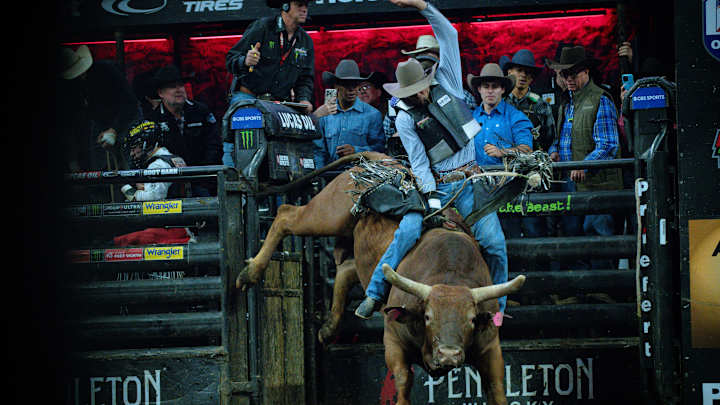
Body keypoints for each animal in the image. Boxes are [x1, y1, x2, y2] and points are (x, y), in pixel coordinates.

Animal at [239, 152, 524, 404]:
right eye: (428, 316)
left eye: (472, 319)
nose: (449, 355)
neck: (450, 276)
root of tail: (378, 160)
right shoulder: (393, 338)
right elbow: (402, 380)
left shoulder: (490, 348)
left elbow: (497, 388)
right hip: (327, 214)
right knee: (286, 214)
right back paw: (249, 273)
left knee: (346, 270)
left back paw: (329, 328)